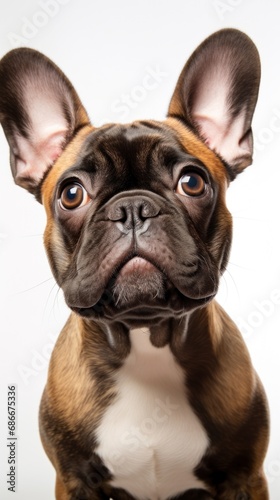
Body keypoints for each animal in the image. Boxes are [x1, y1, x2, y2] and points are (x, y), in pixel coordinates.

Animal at [0, 30, 270, 500]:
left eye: (192, 182)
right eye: (71, 193)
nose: (132, 209)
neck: (145, 341)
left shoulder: (246, 476)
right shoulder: (72, 480)